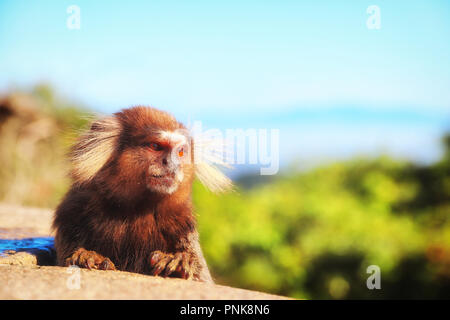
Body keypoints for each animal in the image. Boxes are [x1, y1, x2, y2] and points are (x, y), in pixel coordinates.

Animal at [51, 107, 232, 282]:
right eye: (155, 146)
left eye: (180, 152)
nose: (172, 164)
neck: (135, 210)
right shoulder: (74, 212)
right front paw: (88, 256)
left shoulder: (183, 226)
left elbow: (201, 276)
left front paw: (178, 263)